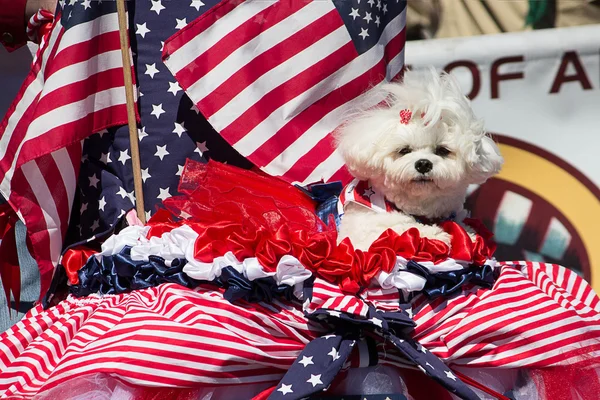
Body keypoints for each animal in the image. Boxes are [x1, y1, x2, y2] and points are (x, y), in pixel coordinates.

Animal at [336, 68, 504, 250]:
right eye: (404, 150)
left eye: (442, 150)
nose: (423, 164)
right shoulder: (363, 234)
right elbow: (402, 226)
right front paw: (435, 234)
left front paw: (469, 235)